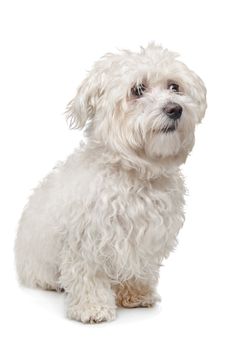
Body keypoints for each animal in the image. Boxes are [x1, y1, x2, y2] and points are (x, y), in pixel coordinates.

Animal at [15, 43, 207, 322]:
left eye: (174, 86)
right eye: (138, 89)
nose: (175, 109)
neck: (135, 172)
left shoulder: (144, 239)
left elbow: (138, 267)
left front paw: (135, 294)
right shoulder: (87, 240)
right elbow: (88, 275)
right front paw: (92, 307)